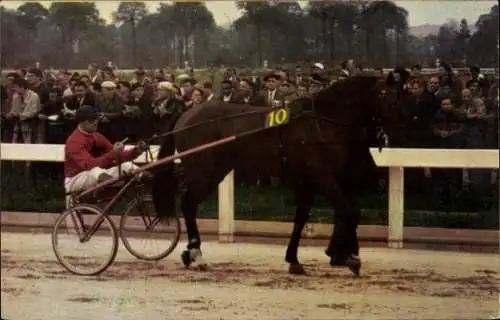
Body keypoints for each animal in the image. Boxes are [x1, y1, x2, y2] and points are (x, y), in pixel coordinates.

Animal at [150, 75, 400, 276]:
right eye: (387, 98)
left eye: (398, 98)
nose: (391, 134)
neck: (321, 123)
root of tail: (185, 115)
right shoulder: (323, 176)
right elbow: (348, 212)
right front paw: (349, 257)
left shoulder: (309, 182)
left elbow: (305, 219)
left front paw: (298, 259)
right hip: (203, 171)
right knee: (187, 203)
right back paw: (196, 253)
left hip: (215, 171)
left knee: (189, 203)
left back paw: (191, 253)